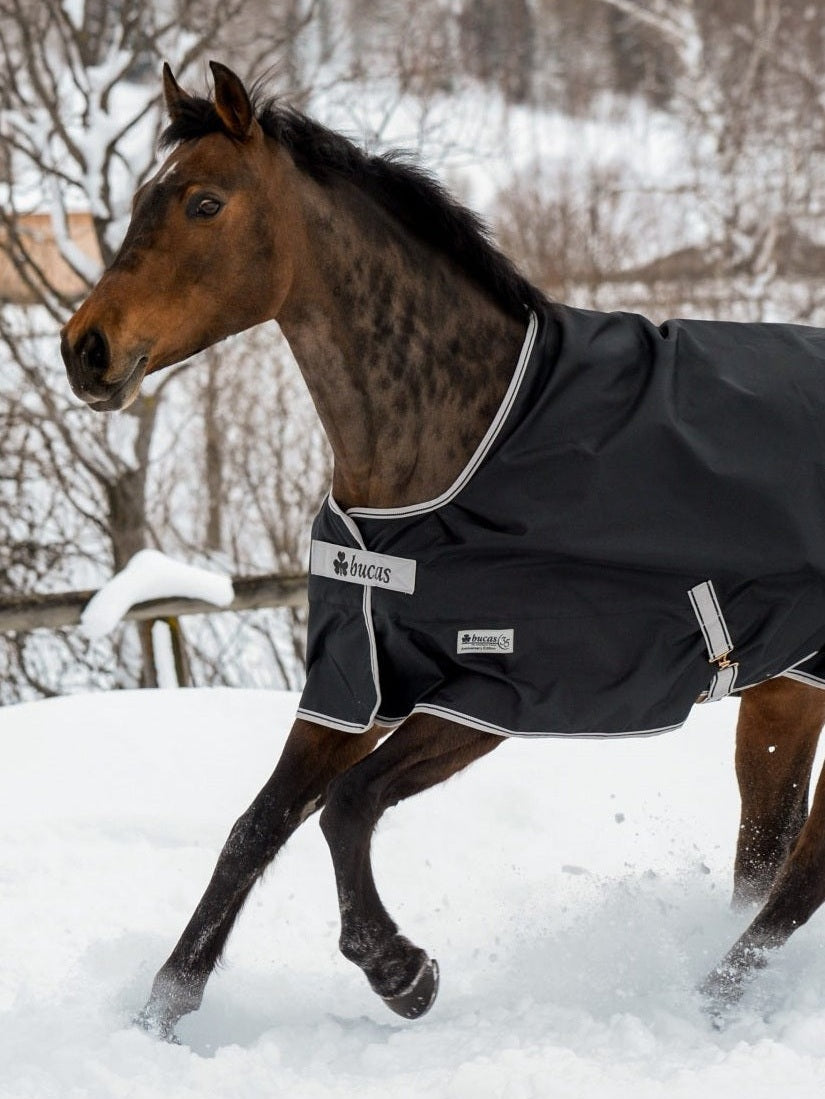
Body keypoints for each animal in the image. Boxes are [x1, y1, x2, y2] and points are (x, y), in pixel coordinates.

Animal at [60, 62, 825, 1038]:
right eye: (139, 202)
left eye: (203, 202)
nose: (85, 348)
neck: (455, 446)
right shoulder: (356, 682)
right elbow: (255, 825)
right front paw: (164, 1006)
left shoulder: (492, 693)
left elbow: (345, 806)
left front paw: (401, 971)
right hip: (783, 689)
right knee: (771, 855)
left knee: (803, 869)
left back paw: (704, 1001)